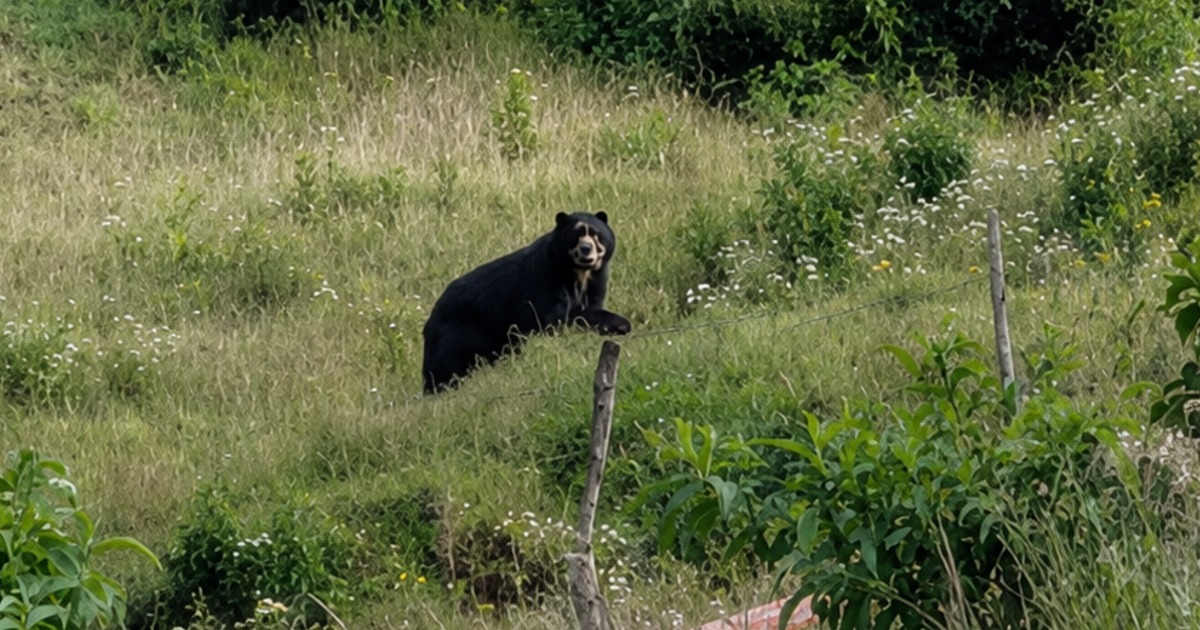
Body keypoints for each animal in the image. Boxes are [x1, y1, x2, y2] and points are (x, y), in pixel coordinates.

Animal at [421, 211, 631, 393]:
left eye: (597, 236)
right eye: (576, 236)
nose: (586, 250)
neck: (577, 272)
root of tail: (430, 318)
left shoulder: (597, 280)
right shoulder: (545, 276)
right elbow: (551, 317)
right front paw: (621, 323)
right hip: (455, 335)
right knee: (445, 368)